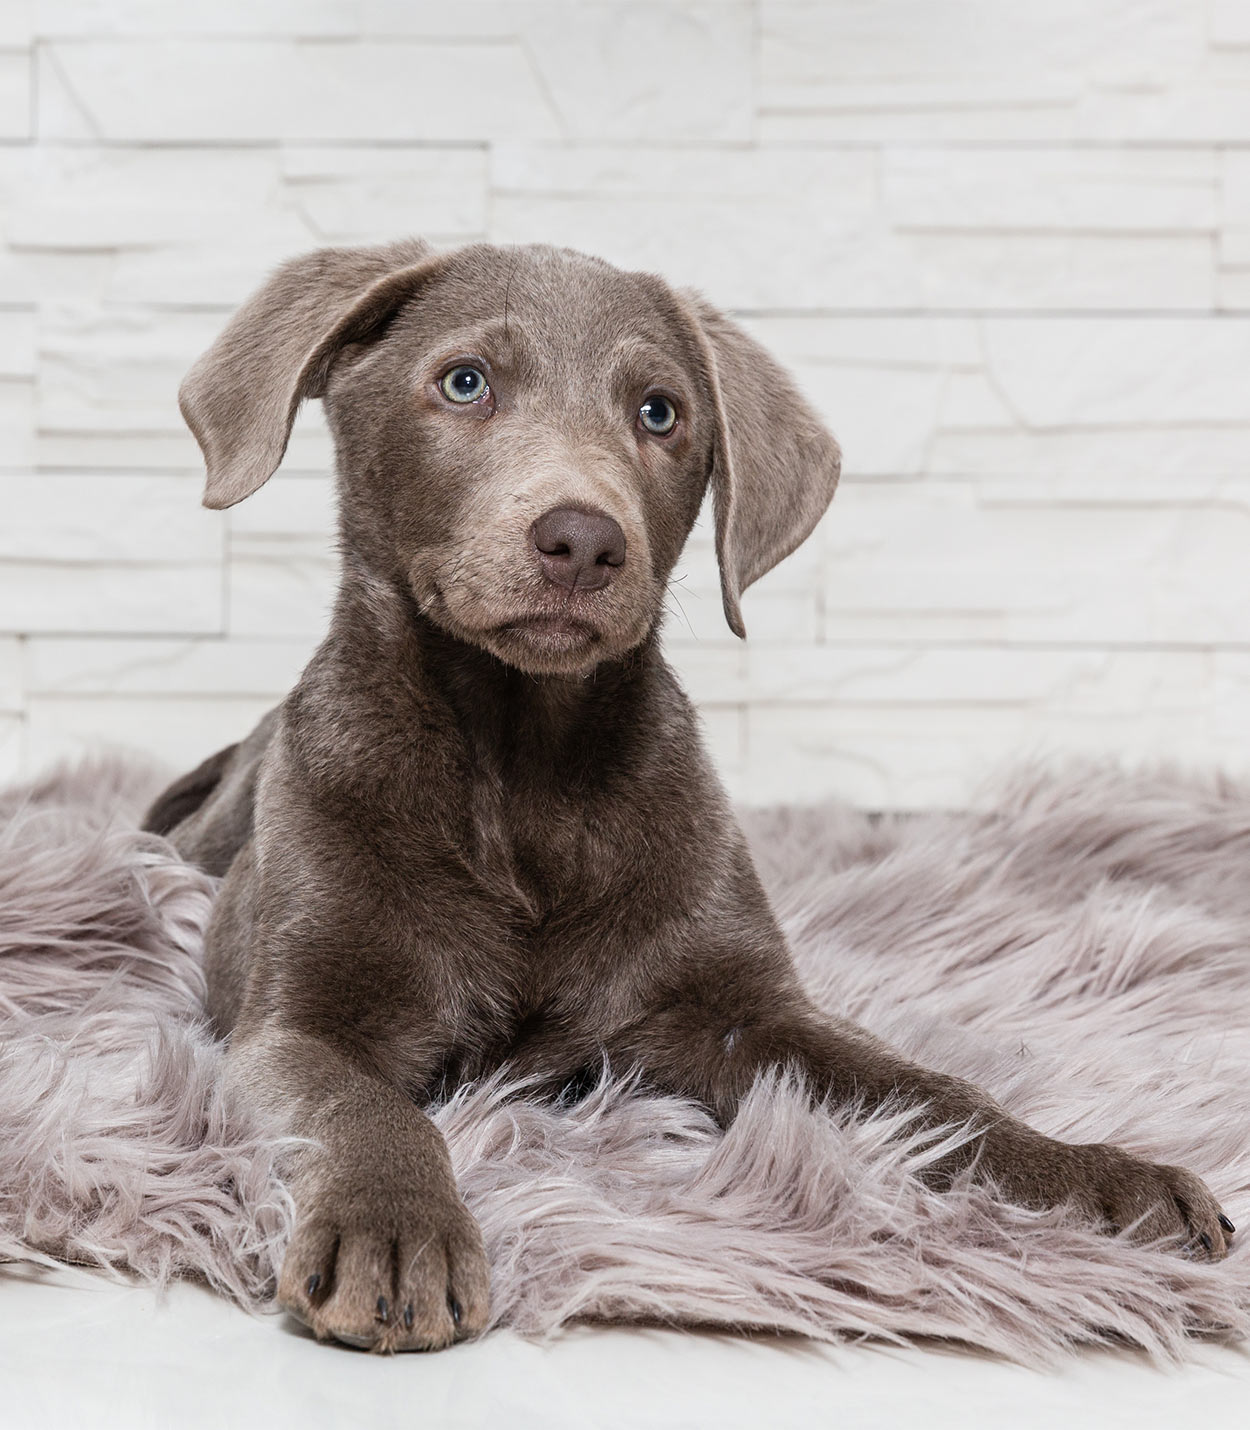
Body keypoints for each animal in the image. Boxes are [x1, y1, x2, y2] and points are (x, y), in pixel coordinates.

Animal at [145, 243, 1229, 1349]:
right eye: (465, 382)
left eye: (659, 412)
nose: (582, 540)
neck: (521, 764)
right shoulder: (295, 1027)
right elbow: (364, 1108)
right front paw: (395, 1230)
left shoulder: (743, 1014)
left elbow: (930, 1088)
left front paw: (1094, 1177)